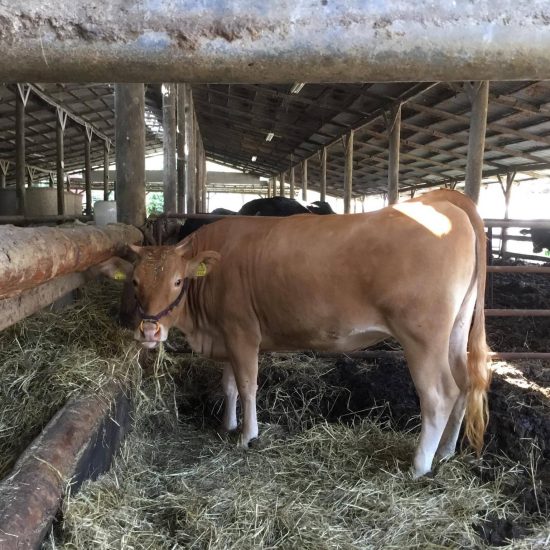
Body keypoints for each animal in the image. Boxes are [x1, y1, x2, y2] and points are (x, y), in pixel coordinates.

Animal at [99, 190, 492, 478]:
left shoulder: (242, 332)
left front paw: (247, 436)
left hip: (423, 337)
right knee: (464, 384)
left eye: (178, 281)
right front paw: (227, 425)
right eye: (135, 282)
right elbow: (228, 384)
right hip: (456, 331)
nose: (149, 330)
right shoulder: (226, 333)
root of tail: (441, 201)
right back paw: (446, 452)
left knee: (439, 395)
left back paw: (420, 466)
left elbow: (247, 385)